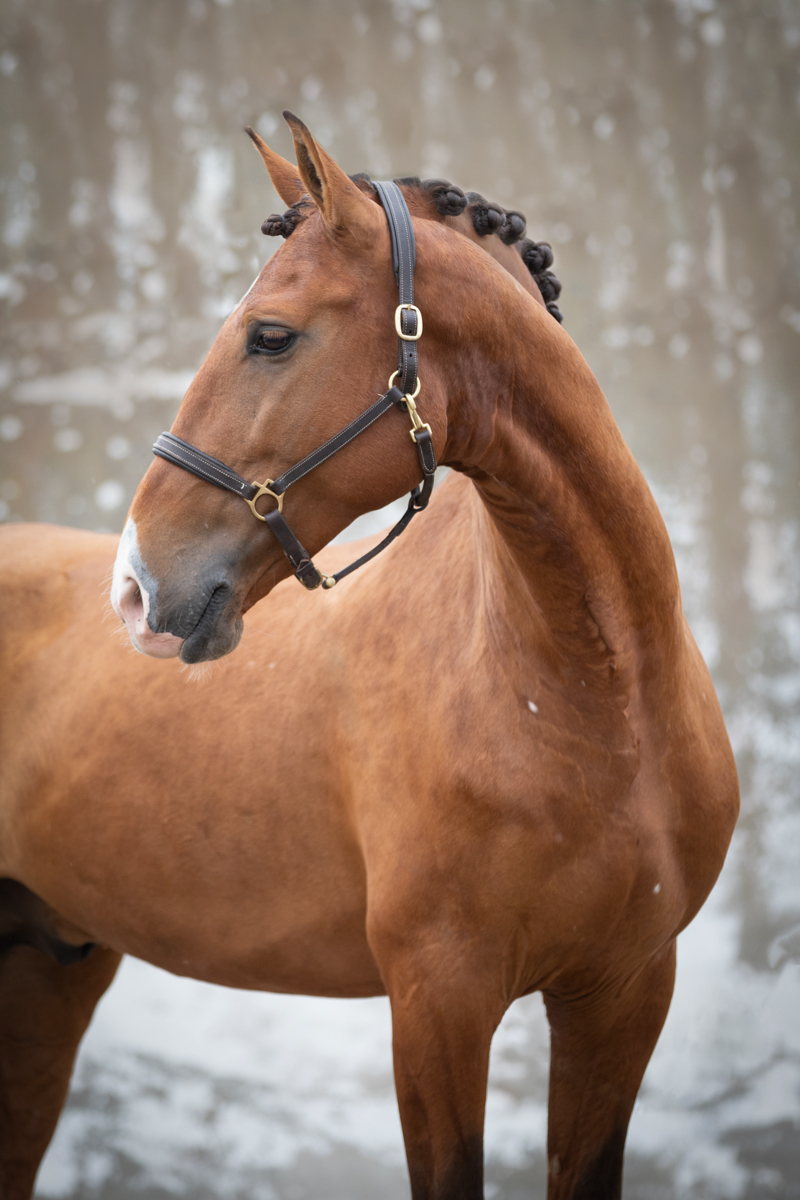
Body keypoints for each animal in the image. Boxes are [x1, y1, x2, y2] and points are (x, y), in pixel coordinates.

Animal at [0, 112, 738, 1199]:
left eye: (270, 334)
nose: (136, 588)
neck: (601, 708)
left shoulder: (624, 993)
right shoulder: (437, 1004)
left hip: (47, 980)